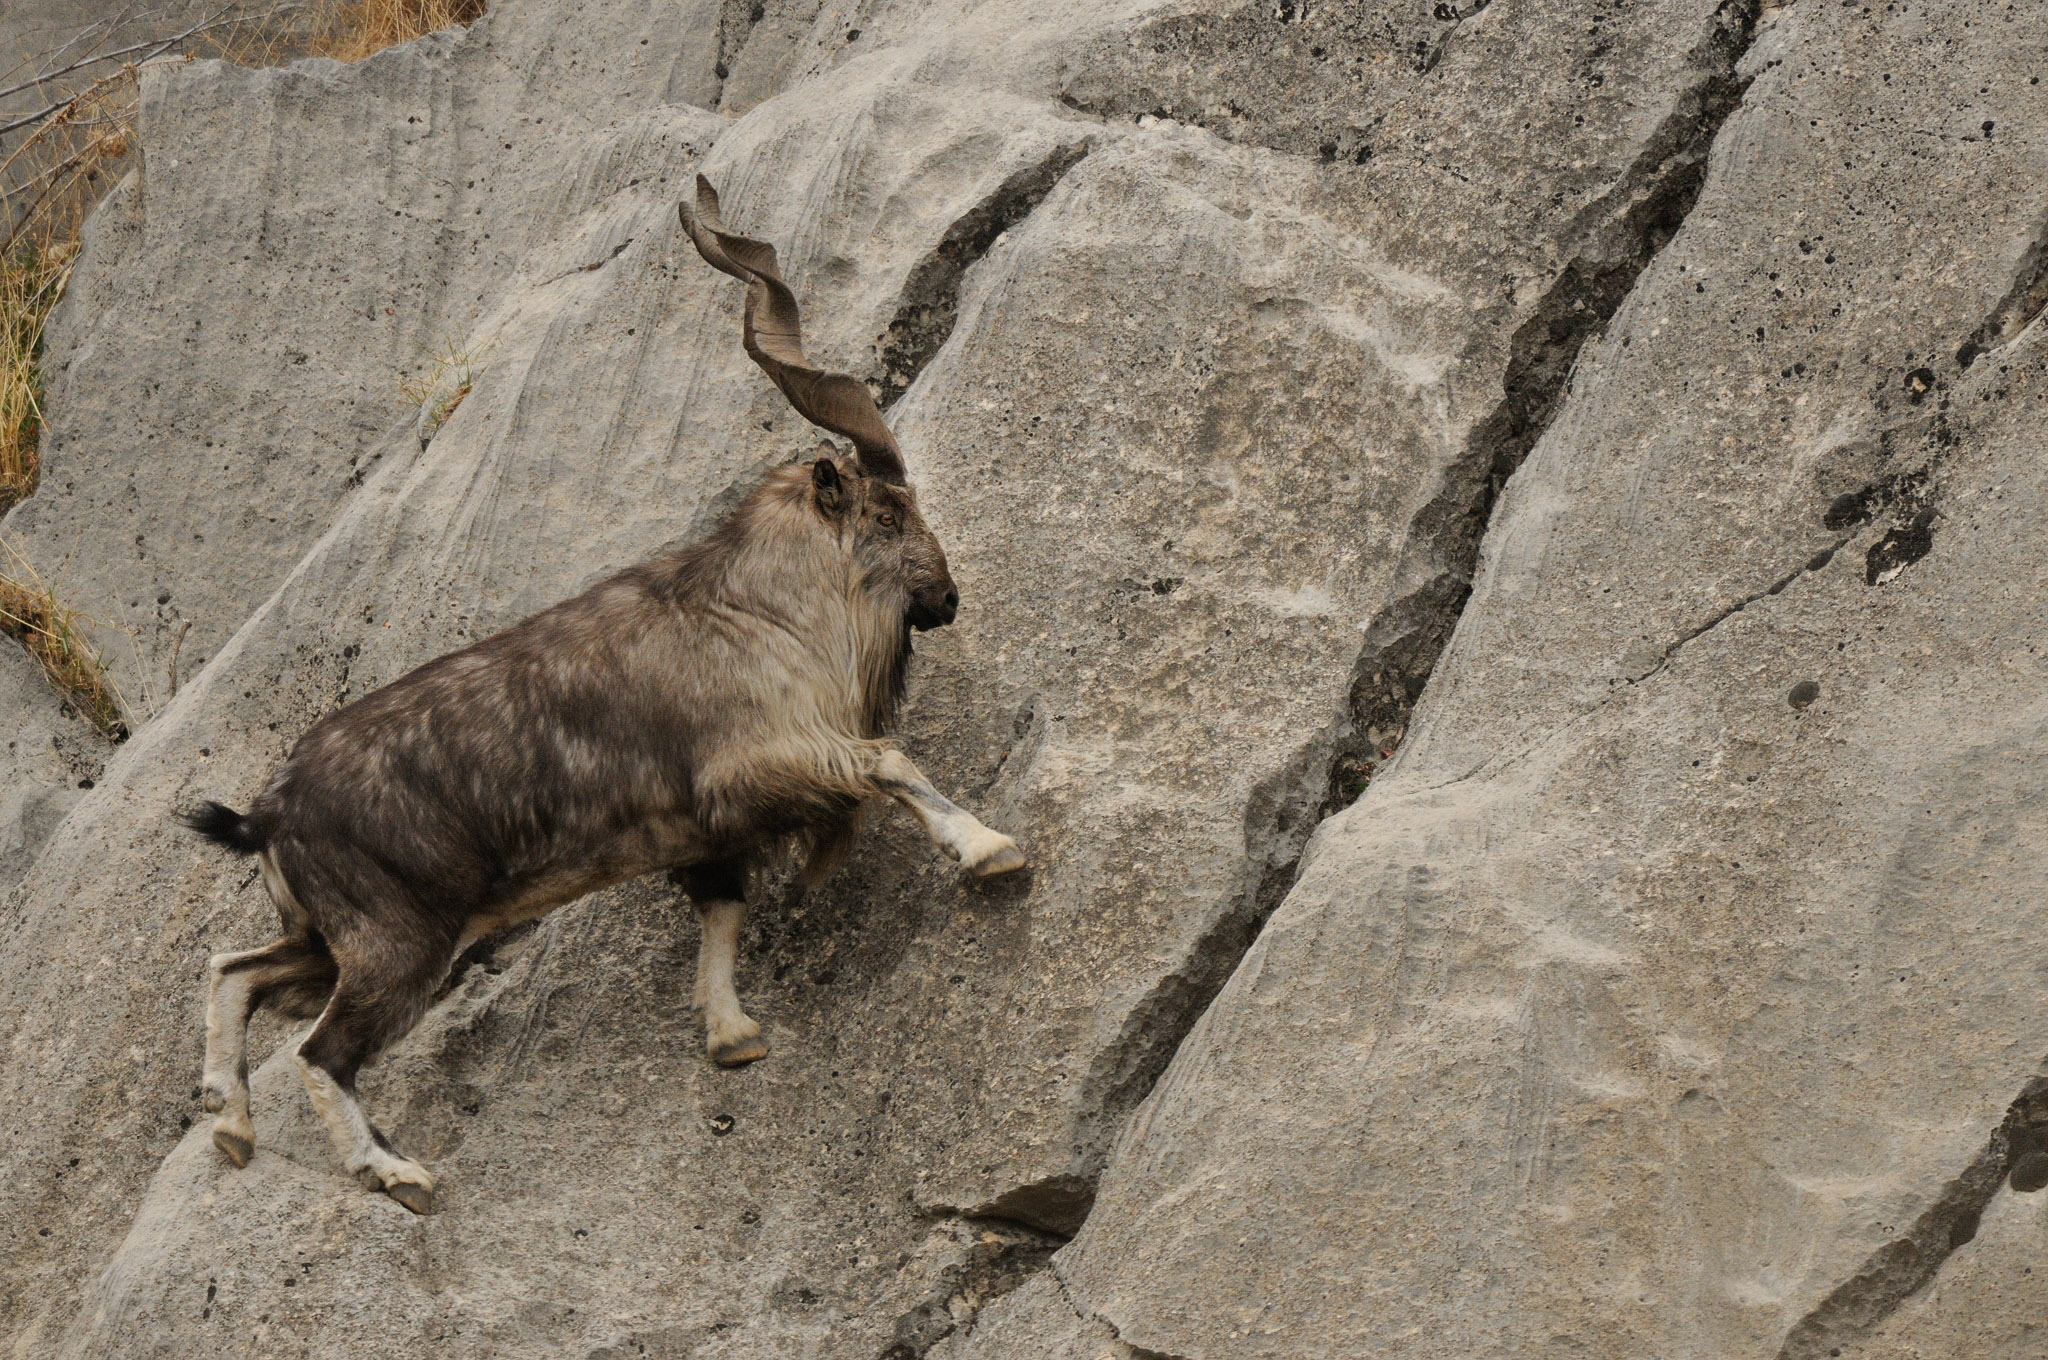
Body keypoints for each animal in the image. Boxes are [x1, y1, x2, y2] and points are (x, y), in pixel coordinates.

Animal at [180, 176, 1026, 1214]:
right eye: (891, 513)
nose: (947, 599)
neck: (757, 611)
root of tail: (269, 812)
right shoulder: (765, 759)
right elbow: (890, 763)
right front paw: (990, 848)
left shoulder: (708, 832)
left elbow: (722, 906)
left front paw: (731, 1036)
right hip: (398, 943)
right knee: (319, 1050)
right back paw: (395, 1172)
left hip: (325, 939)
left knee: (237, 971)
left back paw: (228, 1124)